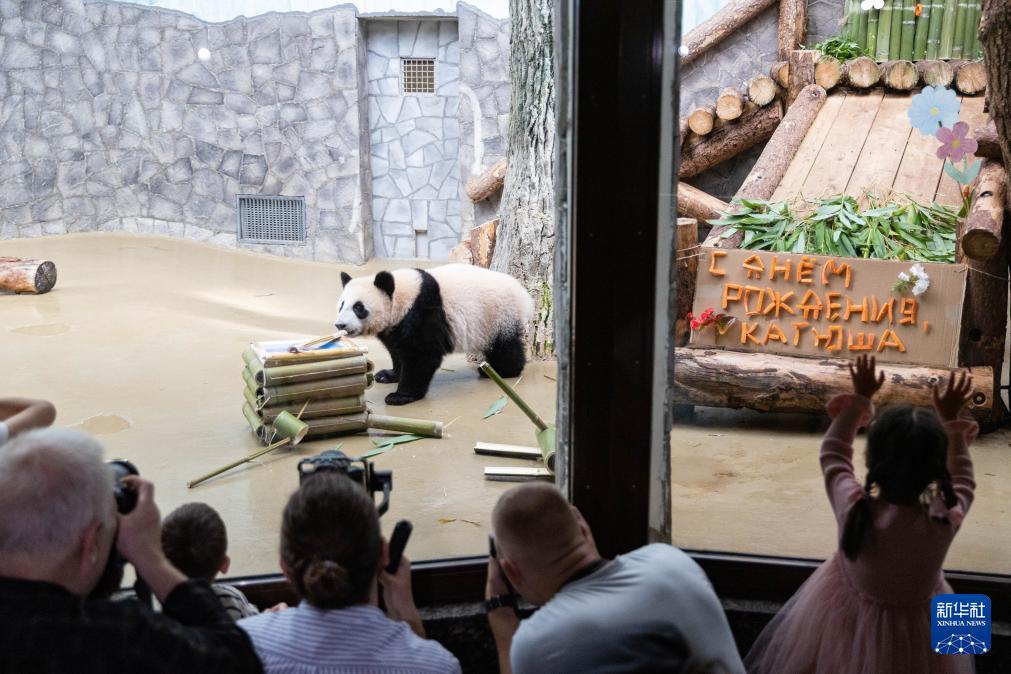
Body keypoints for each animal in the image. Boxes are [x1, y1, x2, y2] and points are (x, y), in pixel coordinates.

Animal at [333, 264, 537, 406]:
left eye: (359, 307)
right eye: (341, 305)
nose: (340, 325)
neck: (402, 295)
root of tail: (524, 296)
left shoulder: (422, 312)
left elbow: (422, 356)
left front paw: (399, 396)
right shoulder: (396, 326)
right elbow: (397, 350)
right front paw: (389, 375)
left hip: (499, 316)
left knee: (505, 347)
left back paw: (502, 371)